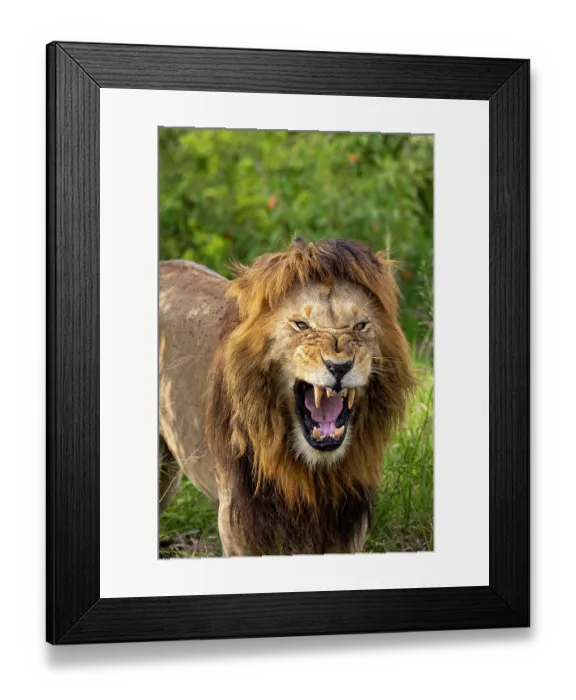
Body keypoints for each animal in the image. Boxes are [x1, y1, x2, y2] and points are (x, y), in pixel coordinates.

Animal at [159, 238, 416, 556]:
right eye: (301, 325)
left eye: (360, 326)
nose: (339, 366)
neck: (310, 471)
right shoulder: (239, 525)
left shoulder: (346, 527)